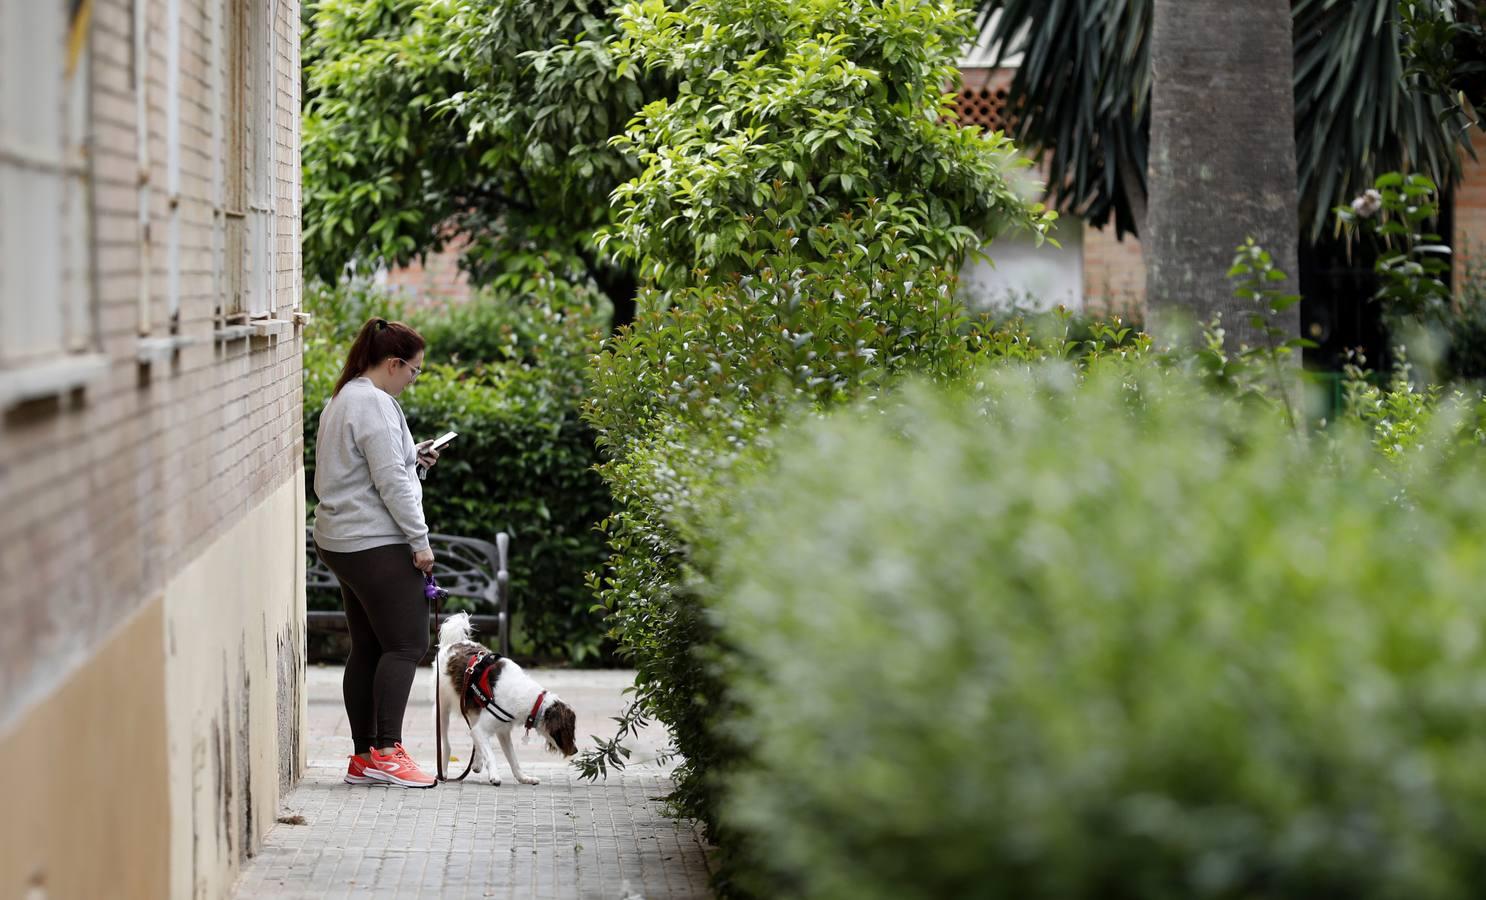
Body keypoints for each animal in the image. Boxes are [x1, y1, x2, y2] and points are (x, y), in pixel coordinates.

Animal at [433, 614, 576, 784]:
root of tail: (454, 644)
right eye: (569, 729)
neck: (533, 702)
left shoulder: (503, 731)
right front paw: (494, 775)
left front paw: (523, 778)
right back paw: (444, 773)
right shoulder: (484, 729)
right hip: (442, 710)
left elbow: (513, 759)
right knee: (447, 745)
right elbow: (491, 754)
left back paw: (477, 763)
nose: (576, 750)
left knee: (474, 737)